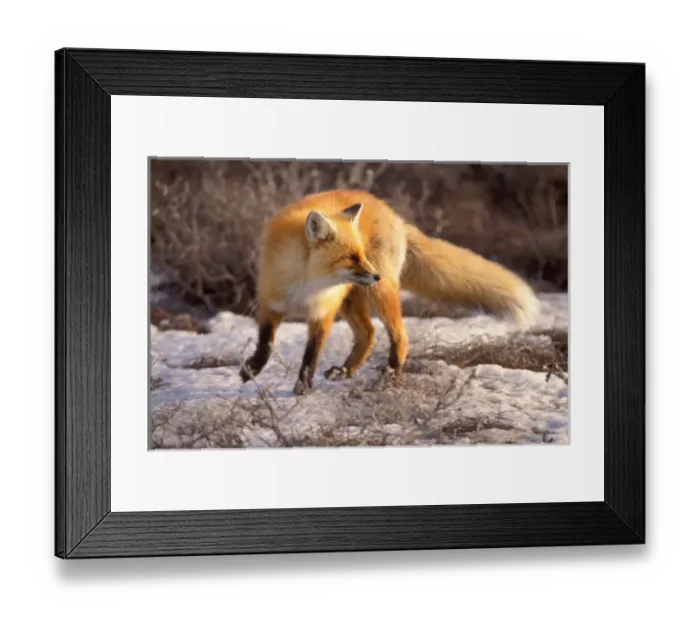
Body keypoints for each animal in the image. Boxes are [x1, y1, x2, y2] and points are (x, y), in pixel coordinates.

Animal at [239, 189, 540, 396]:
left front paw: (303, 386)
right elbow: (266, 343)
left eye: (360, 254)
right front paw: (252, 368)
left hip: (378, 296)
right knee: (368, 334)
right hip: (354, 298)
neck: (307, 284)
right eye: (350, 257)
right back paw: (346, 370)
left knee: (398, 334)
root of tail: (393, 213)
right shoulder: (271, 304)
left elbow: (310, 356)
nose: (375, 275)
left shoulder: (322, 312)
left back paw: (392, 371)